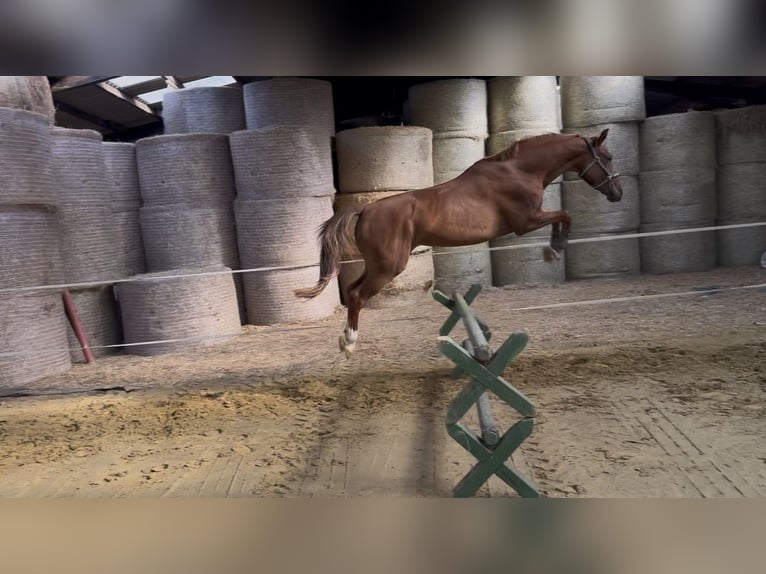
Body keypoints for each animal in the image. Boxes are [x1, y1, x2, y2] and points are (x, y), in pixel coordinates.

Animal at [295, 129, 623, 357]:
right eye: (607, 157)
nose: (617, 193)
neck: (519, 170)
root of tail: (364, 210)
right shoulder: (526, 222)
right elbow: (565, 215)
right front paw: (554, 250)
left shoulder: (529, 220)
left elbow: (563, 215)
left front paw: (554, 249)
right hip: (388, 267)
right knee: (357, 296)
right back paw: (349, 345)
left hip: (376, 265)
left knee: (352, 290)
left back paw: (344, 340)